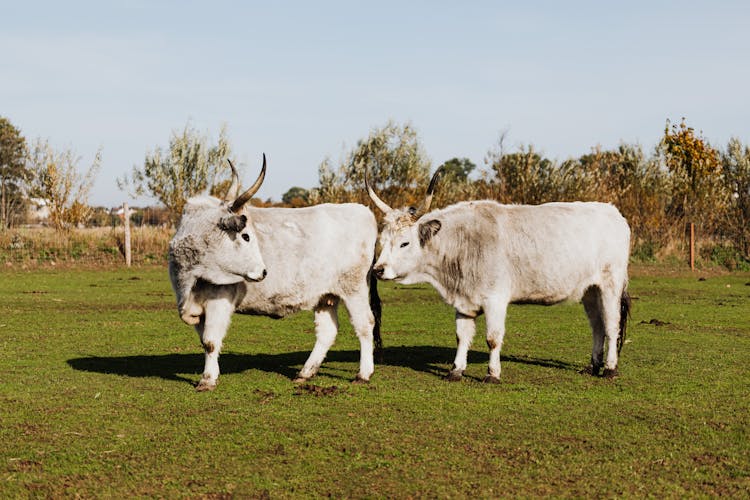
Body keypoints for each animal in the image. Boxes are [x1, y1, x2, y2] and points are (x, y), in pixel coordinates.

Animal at [170, 156, 382, 390]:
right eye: (246, 236)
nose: (264, 271)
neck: (190, 281)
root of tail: (362, 210)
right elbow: (204, 341)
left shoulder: (219, 301)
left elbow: (210, 341)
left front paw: (207, 380)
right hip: (325, 295)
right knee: (328, 331)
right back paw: (305, 372)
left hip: (354, 289)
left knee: (365, 325)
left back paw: (363, 373)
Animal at [368, 169, 632, 382]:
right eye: (381, 240)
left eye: (404, 243)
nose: (378, 269)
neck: (463, 243)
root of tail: (612, 211)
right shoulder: (463, 301)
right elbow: (461, 336)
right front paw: (456, 370)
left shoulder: (495, 299)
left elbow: (493, 338)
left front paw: (492, 374)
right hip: (590, 290)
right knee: (597, 326)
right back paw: (593, 366)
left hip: (610, 285)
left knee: (611, 326)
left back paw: (609, 368)